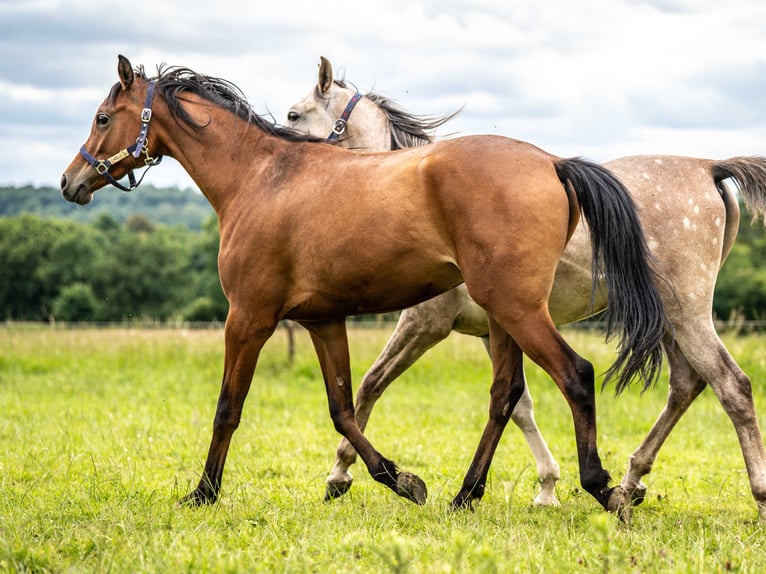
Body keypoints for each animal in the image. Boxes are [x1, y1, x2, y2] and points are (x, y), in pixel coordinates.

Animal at [63, 56, 668, 516]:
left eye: (102, 117)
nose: (71, 182)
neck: (261, 177)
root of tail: (553, 162)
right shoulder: (323, 321)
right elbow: (345, 407)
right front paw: (399, 480)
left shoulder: (249, 318)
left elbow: (229, 406)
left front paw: (203, 492)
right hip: (502, 318)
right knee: (506, 395)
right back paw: (464, 496)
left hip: (517, 309)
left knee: (576, 375)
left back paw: (604, 488)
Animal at [284, 57, 766, 520]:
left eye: (293, 114)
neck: (416, 198)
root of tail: (709, 168)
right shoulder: (493, 328)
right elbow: (518, 404)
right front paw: (547, 486)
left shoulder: (425, 324)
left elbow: (370, 384)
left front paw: (341, 473)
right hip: (666, 320)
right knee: (686, 385)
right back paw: (631, 483)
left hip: (687, 316)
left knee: (732, 387)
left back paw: (755, 495)